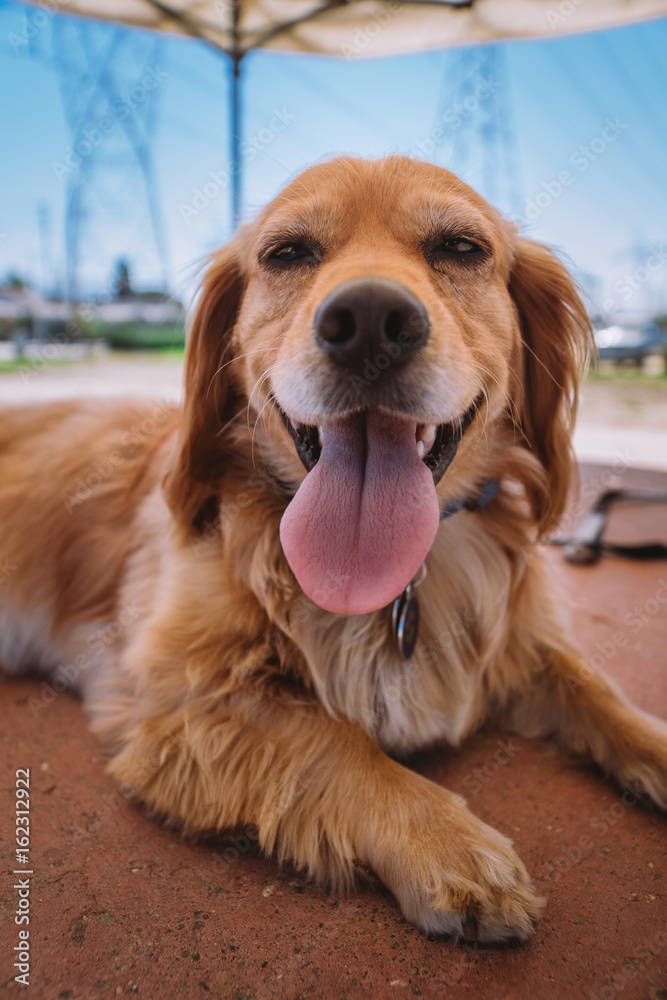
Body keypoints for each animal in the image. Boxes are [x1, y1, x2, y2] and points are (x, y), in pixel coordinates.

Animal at [1, 154, 667, 936]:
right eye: (287, 252)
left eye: (460, 247)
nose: (370, 323)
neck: (400, 582)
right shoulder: (176, 695)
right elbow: (335, 740)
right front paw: (447, 844)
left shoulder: (518, 644)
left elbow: (596, 687)